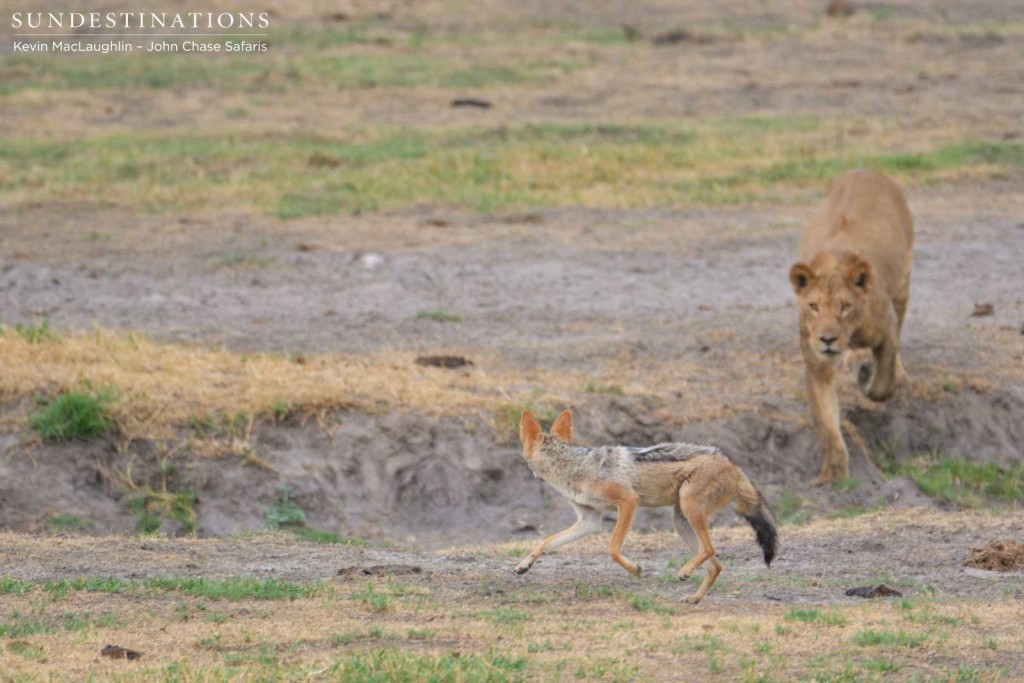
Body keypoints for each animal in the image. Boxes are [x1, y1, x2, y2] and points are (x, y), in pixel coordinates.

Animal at [786, 167, 917, 483]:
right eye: (814, 306)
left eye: (845, 306)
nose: (827, 339)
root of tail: (865, 170)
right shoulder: (817, 363)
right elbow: (825, 421)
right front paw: (833, 474)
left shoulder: (887, 327)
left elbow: (883, 380)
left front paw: (869, 380)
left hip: (903, 283)